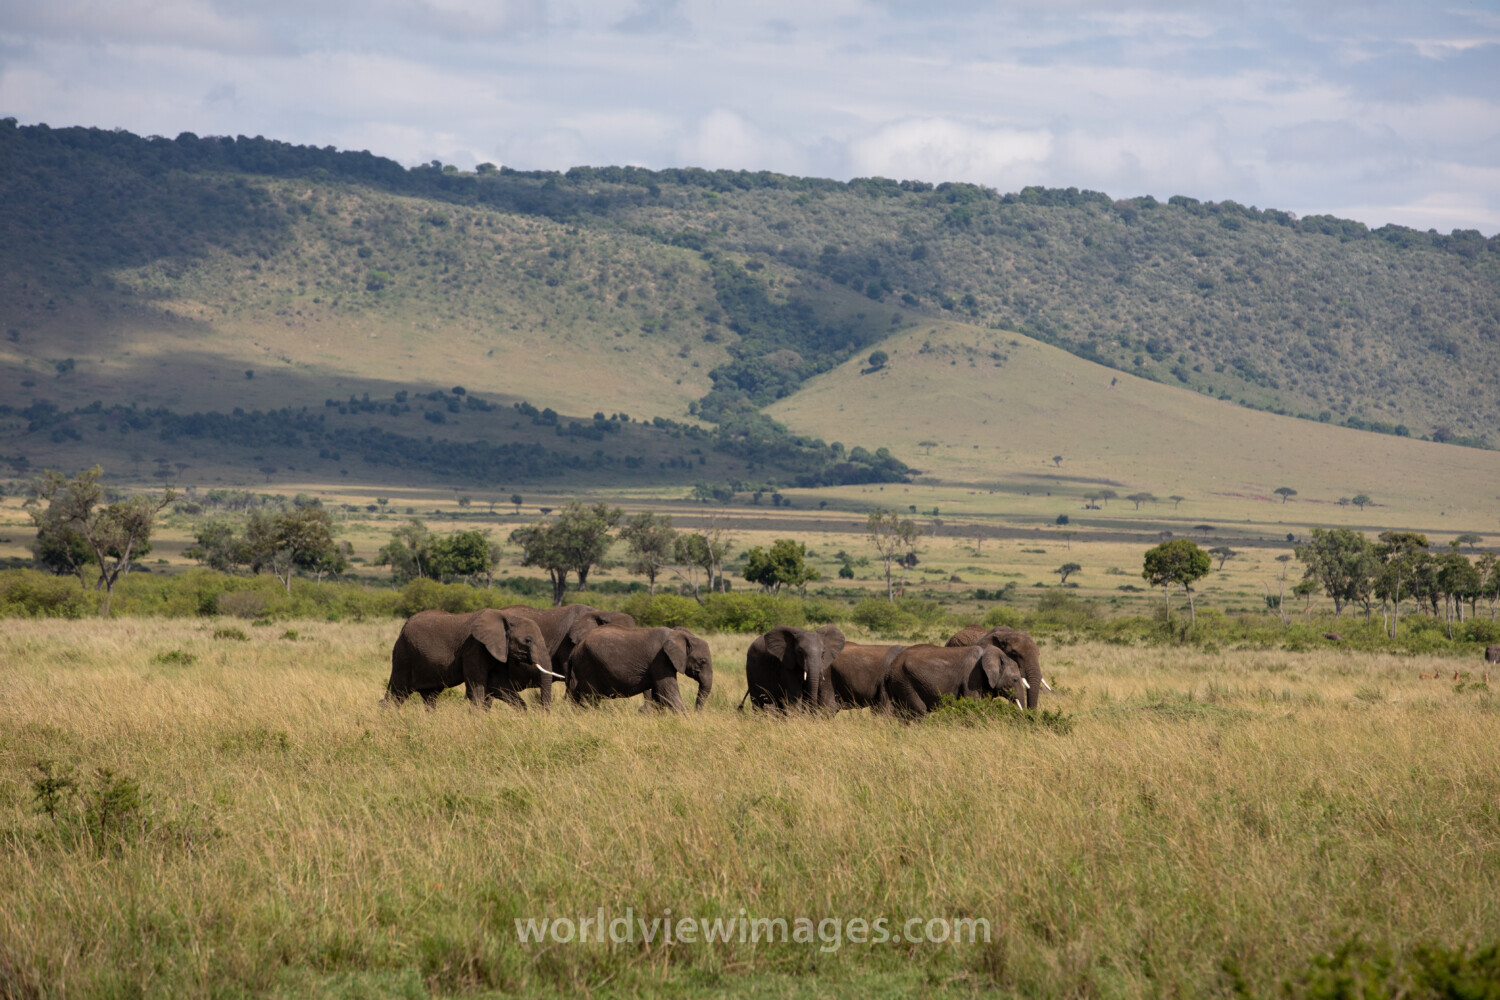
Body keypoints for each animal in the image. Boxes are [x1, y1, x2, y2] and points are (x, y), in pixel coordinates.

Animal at [384, 608, 561, 709]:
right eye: (528, 640)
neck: (506, 617)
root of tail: (403, 627)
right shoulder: (474, 648)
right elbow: (477, 689)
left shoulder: (496, 650)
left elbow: (499, 685)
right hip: (404, 654)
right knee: (398, 693)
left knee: (429, 697)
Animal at [566, 625, 713, 713]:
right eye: (703, 661)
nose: (696, 714)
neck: (676, 634)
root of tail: (575, 649)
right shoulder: (660, 659)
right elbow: (668, 692)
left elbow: (659, 695)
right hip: (587, 664)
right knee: (591, 697)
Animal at [883, 643, 1027, 719]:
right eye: (1015, 679)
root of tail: (890, 669)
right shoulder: (972, 678)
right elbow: (973, 703)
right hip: (904, 681)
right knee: (919, 711)